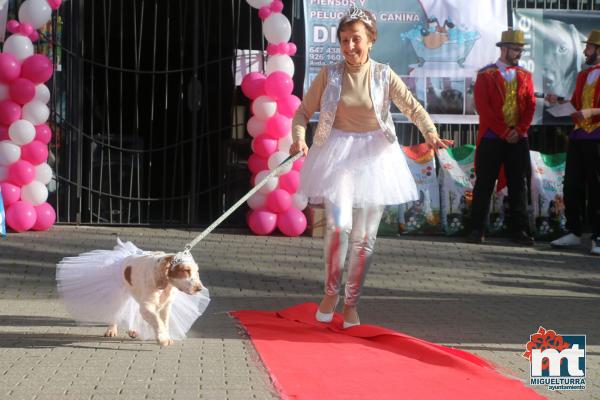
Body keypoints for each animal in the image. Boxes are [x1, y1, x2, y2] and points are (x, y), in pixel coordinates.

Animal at [56, 239, 211, 346]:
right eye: (185, 270)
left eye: (196, 271)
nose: (199, 288)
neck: (164, 284)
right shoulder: (147, 305)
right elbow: (157, 321)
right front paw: (162, 339)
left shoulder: (165, 306)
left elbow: (164, 322)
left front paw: (166, 336)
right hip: (118, 295)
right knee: (115, 312)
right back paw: (111, 330)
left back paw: (132, 330)